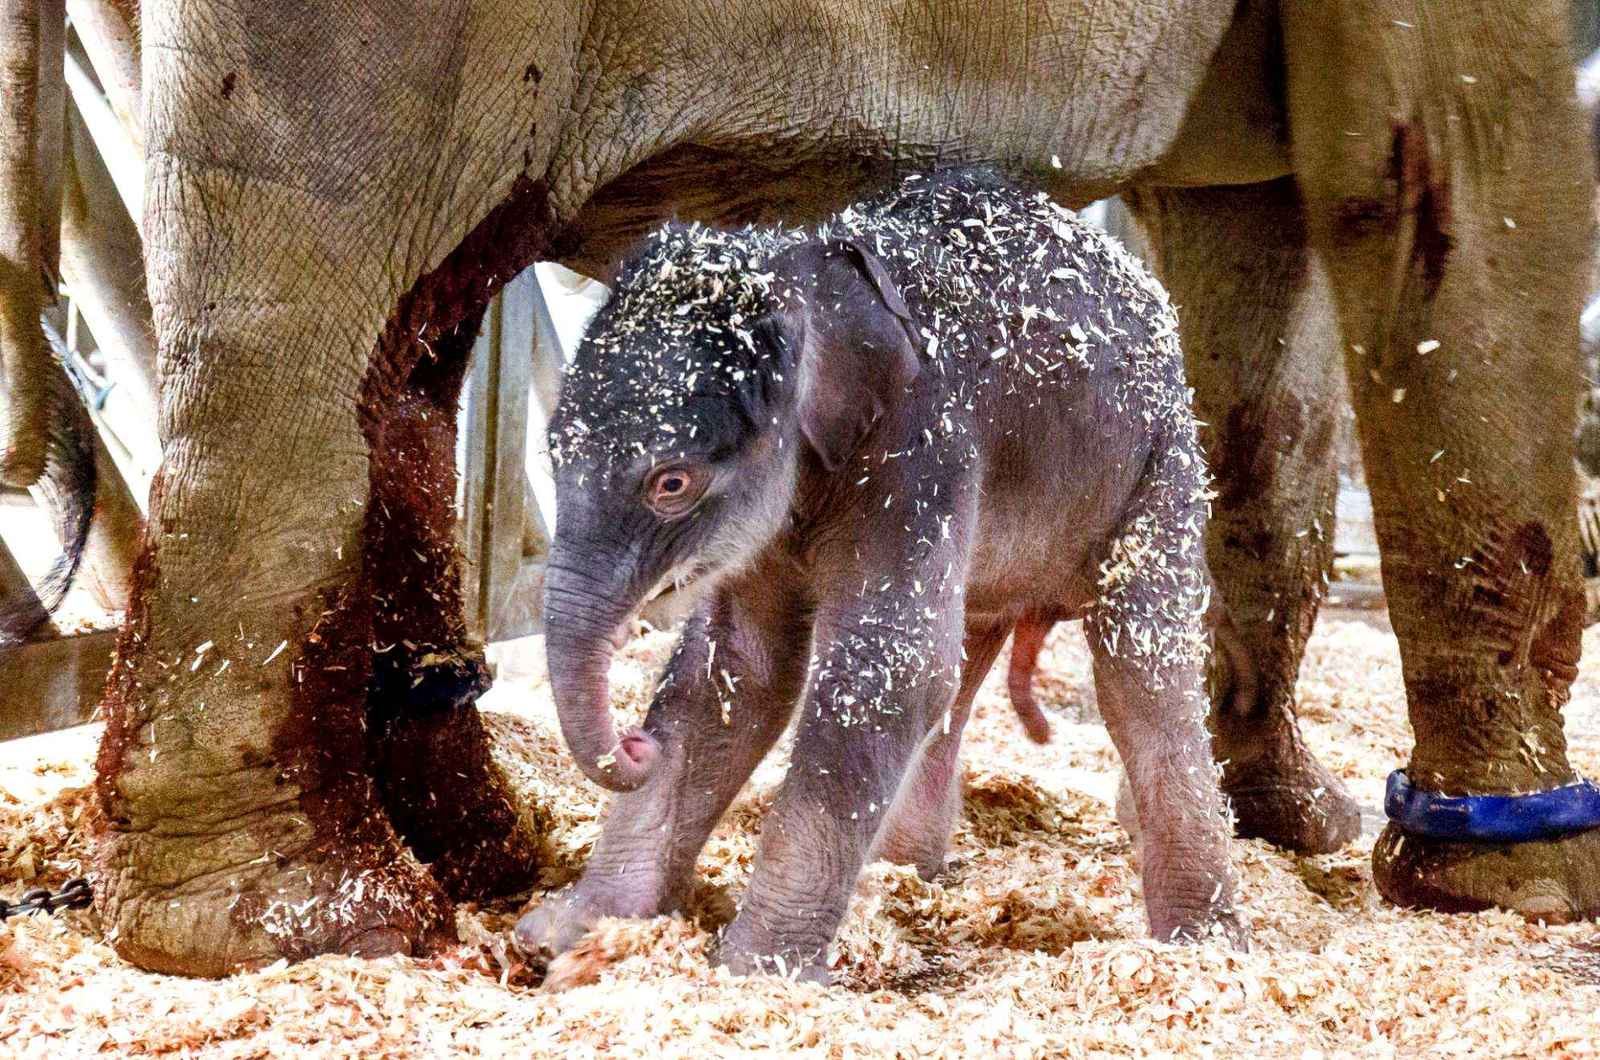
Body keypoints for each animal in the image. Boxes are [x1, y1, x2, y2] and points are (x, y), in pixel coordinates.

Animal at [518, 170, 1241, 986]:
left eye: (671, 482)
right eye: (552, 450)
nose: (637, 748)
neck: (807, 274)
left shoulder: (921, 450)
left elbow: (889, 667)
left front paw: (756, 974)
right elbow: (739, 670)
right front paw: (567, 936)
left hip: (1161, 465)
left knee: (1140, 677)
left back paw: (1206, 949)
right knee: (968, 659)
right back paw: (907, 876)